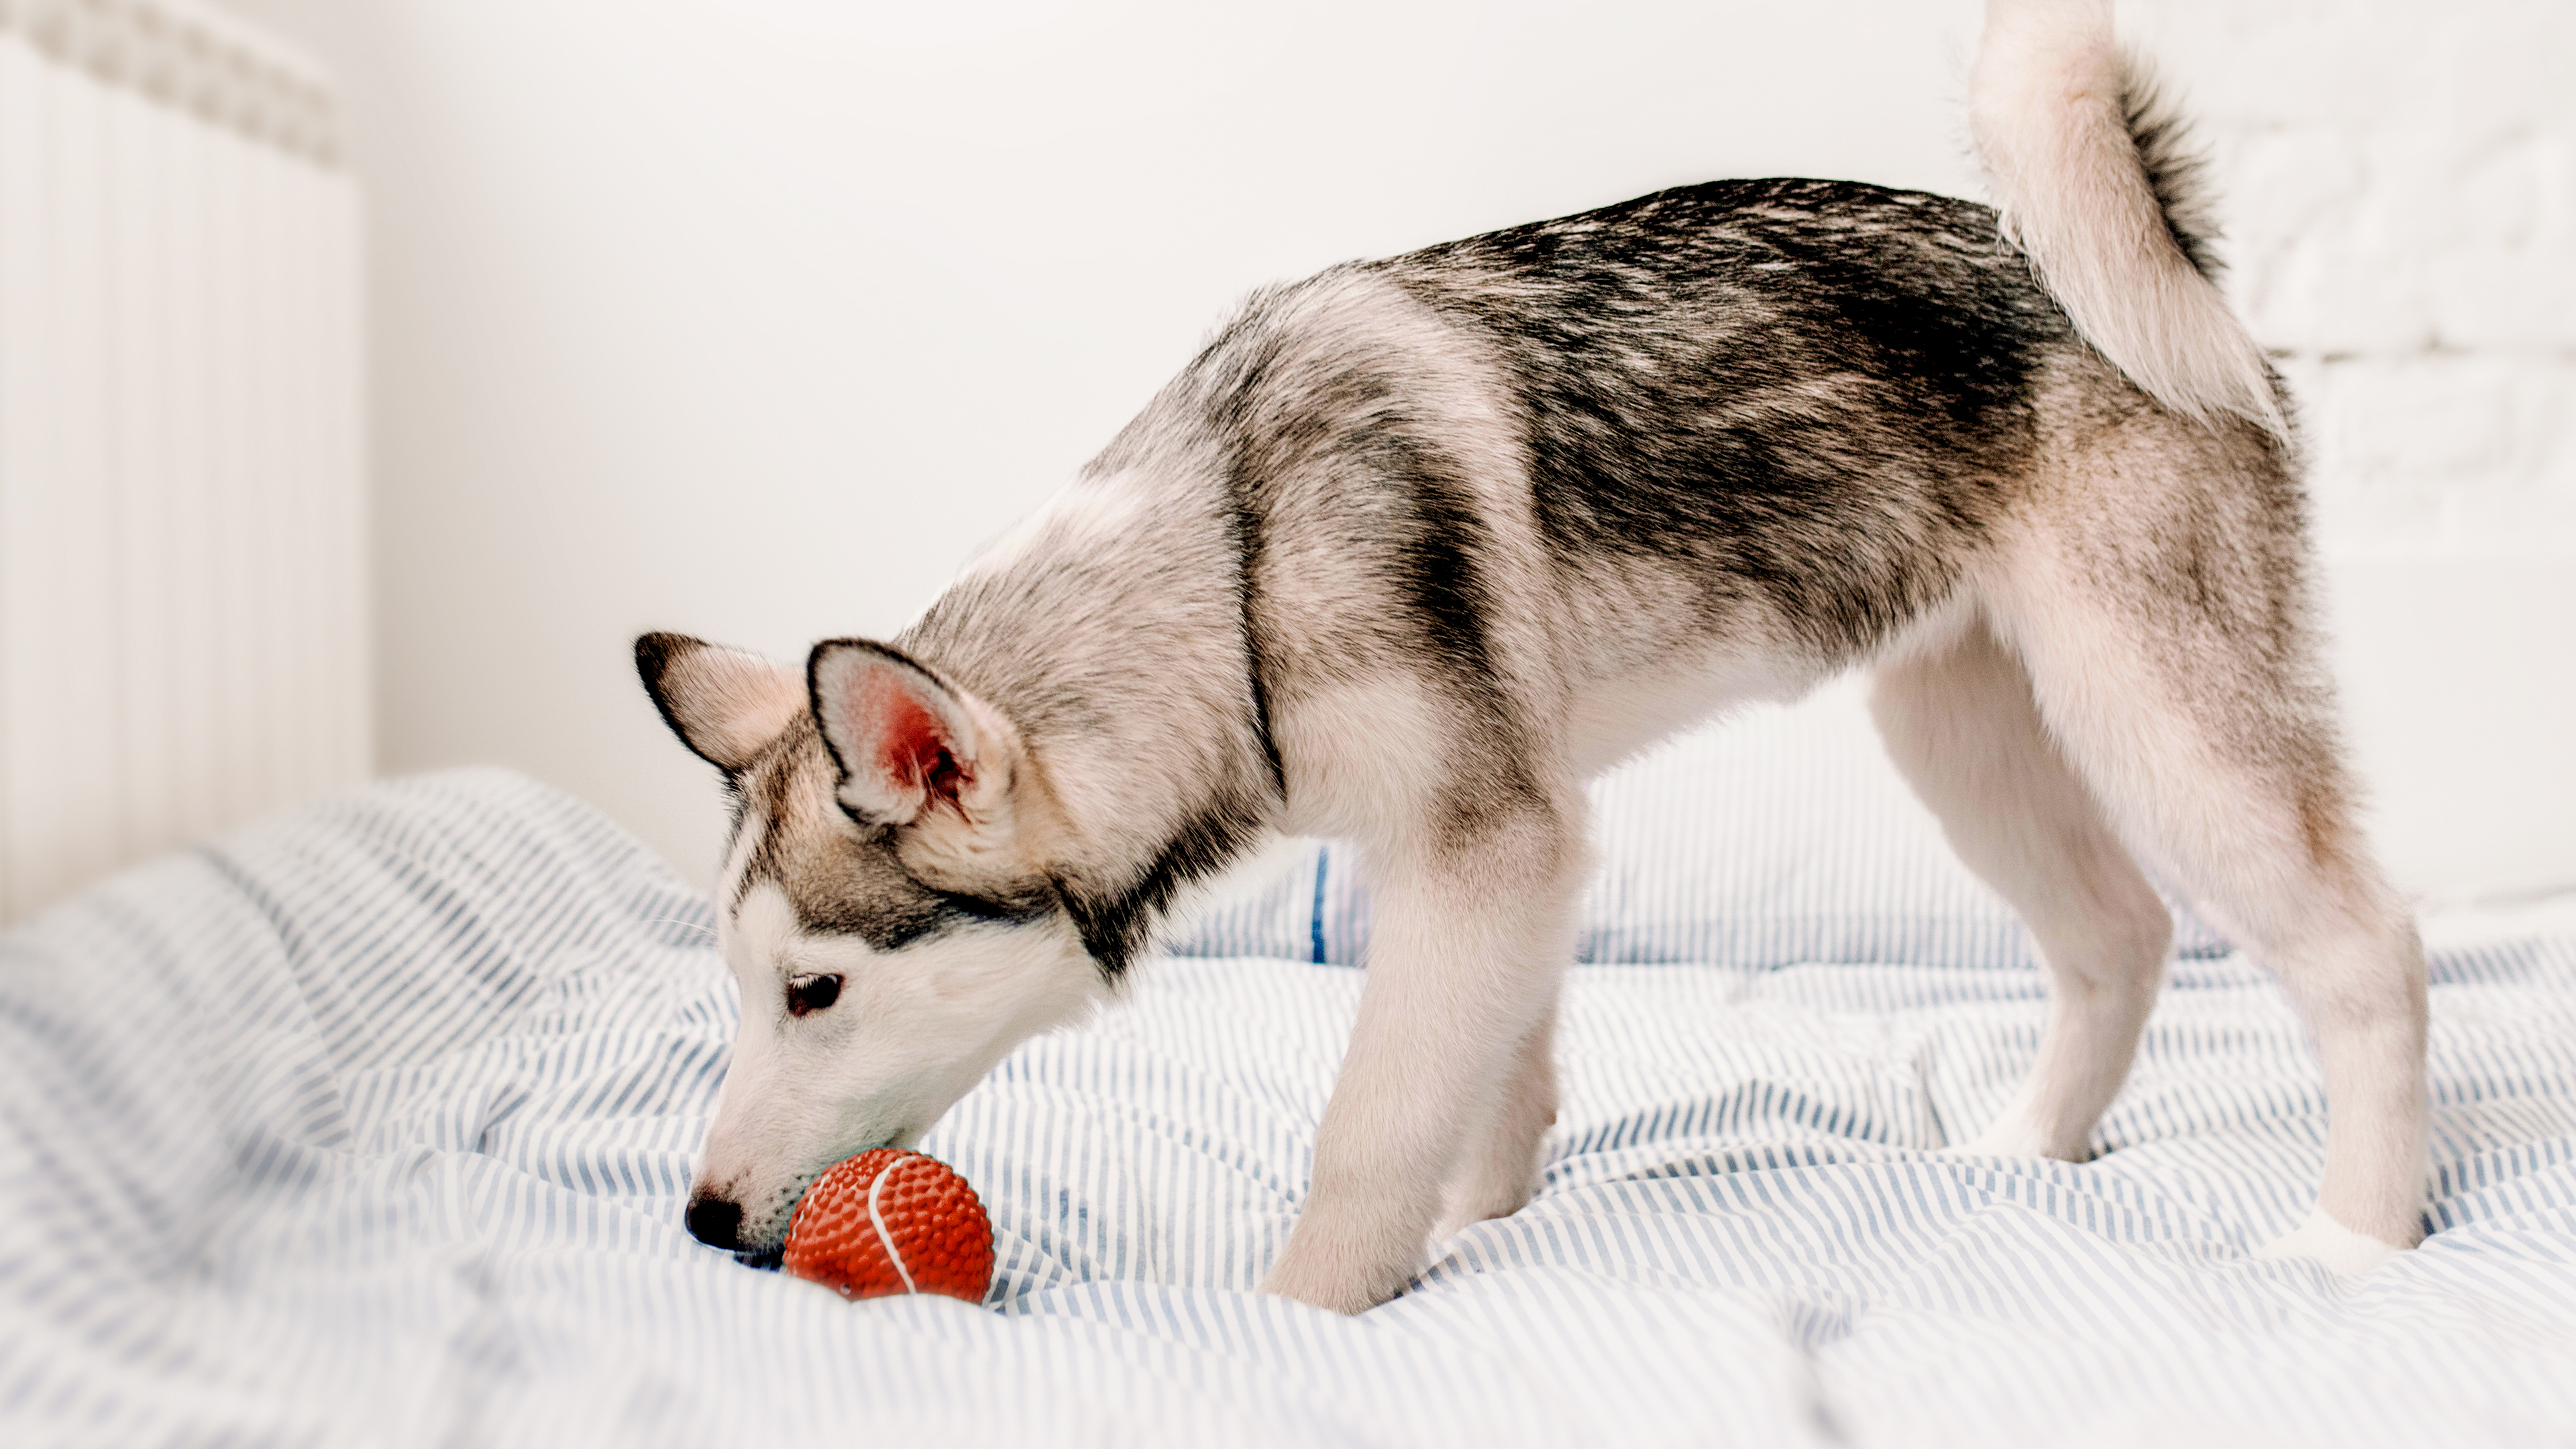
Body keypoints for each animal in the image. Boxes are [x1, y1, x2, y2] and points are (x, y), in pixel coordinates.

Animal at [633, 0, 2421, 1309]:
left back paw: (2357, 1236)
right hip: (1964, 733)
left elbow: (1372, 1128)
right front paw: (1480, 1227)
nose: (704, 1221)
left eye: (814, 990)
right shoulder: (1491, 851)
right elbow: (1490, 1088)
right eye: (737, 981)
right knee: (2120, 937)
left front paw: (1303, 1312)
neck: (1234, 561)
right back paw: (2026, 1149)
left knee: (2366, 951)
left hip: (2164, 726)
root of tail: (2160, 263)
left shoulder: (1486, 848)